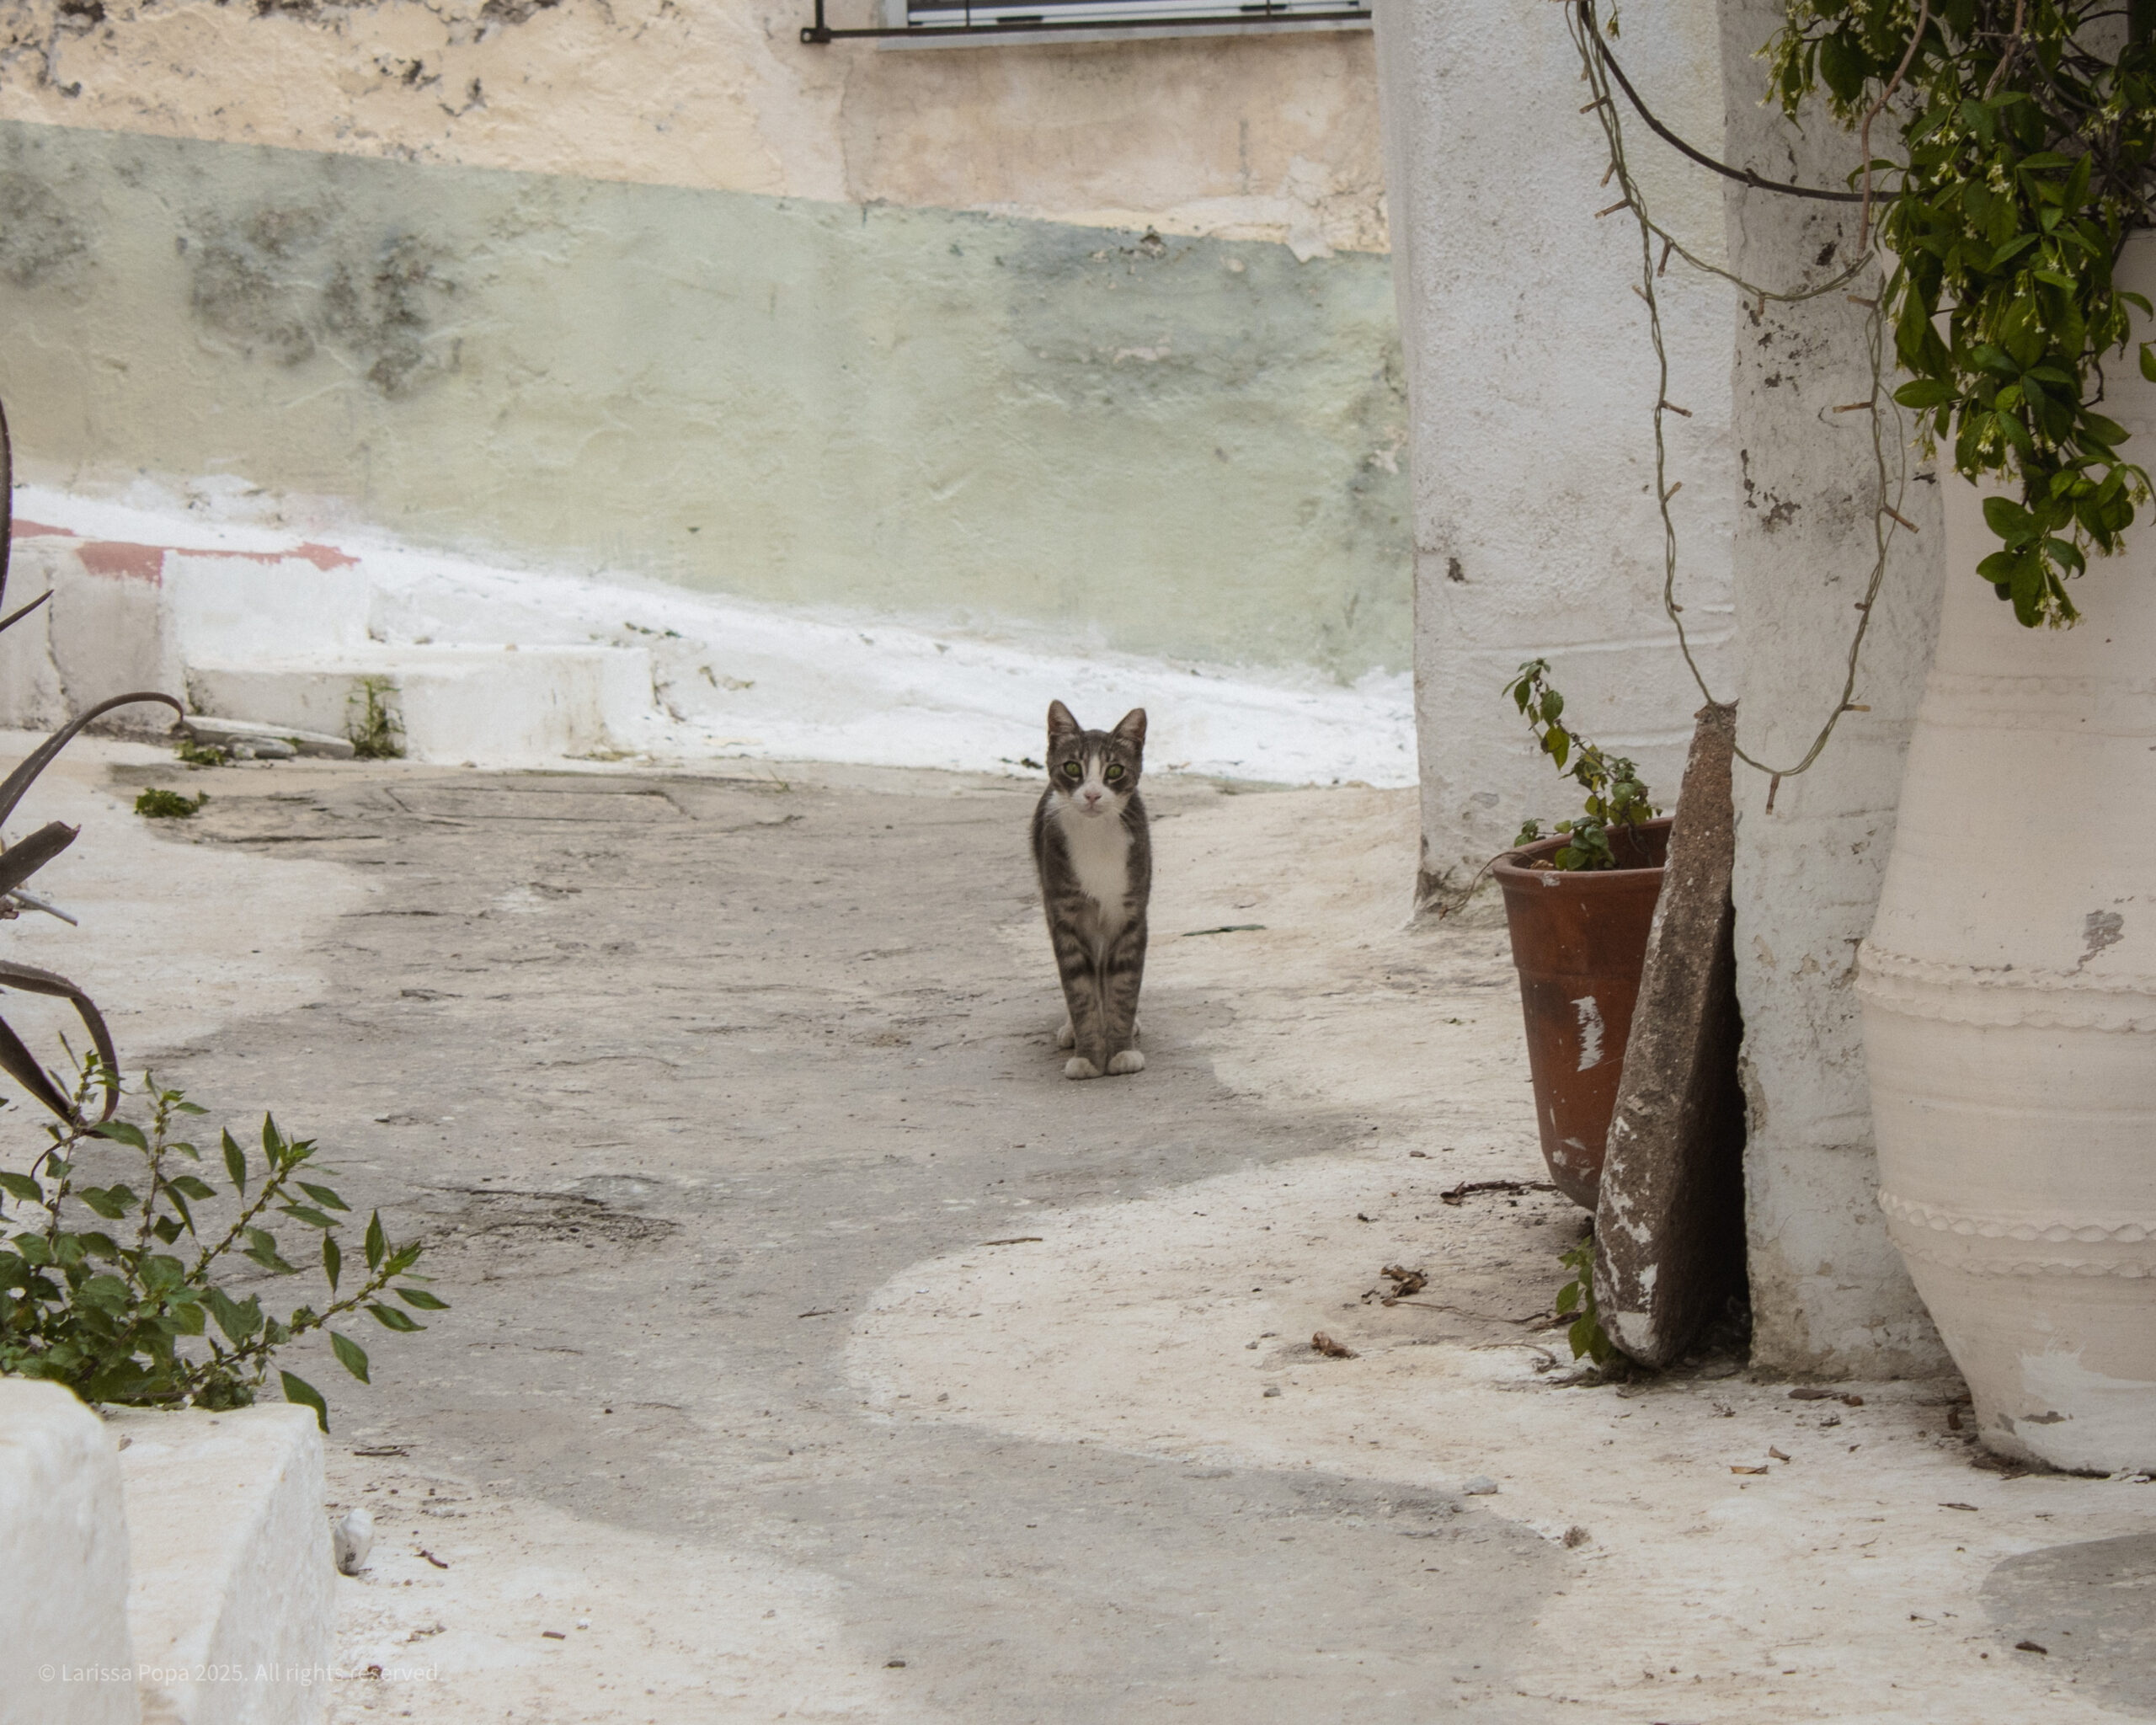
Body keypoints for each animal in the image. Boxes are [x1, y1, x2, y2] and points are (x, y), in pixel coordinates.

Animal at [1031, 700, 1151, 1080]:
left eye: (1114, 771)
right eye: (1072, 768)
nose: (1093, 793)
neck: (1097, 837)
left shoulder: (1131, 914)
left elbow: (1124, 987)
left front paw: (1122, 1050)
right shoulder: (1064, 917)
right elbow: (1079, 990)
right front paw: (1088, 1056)